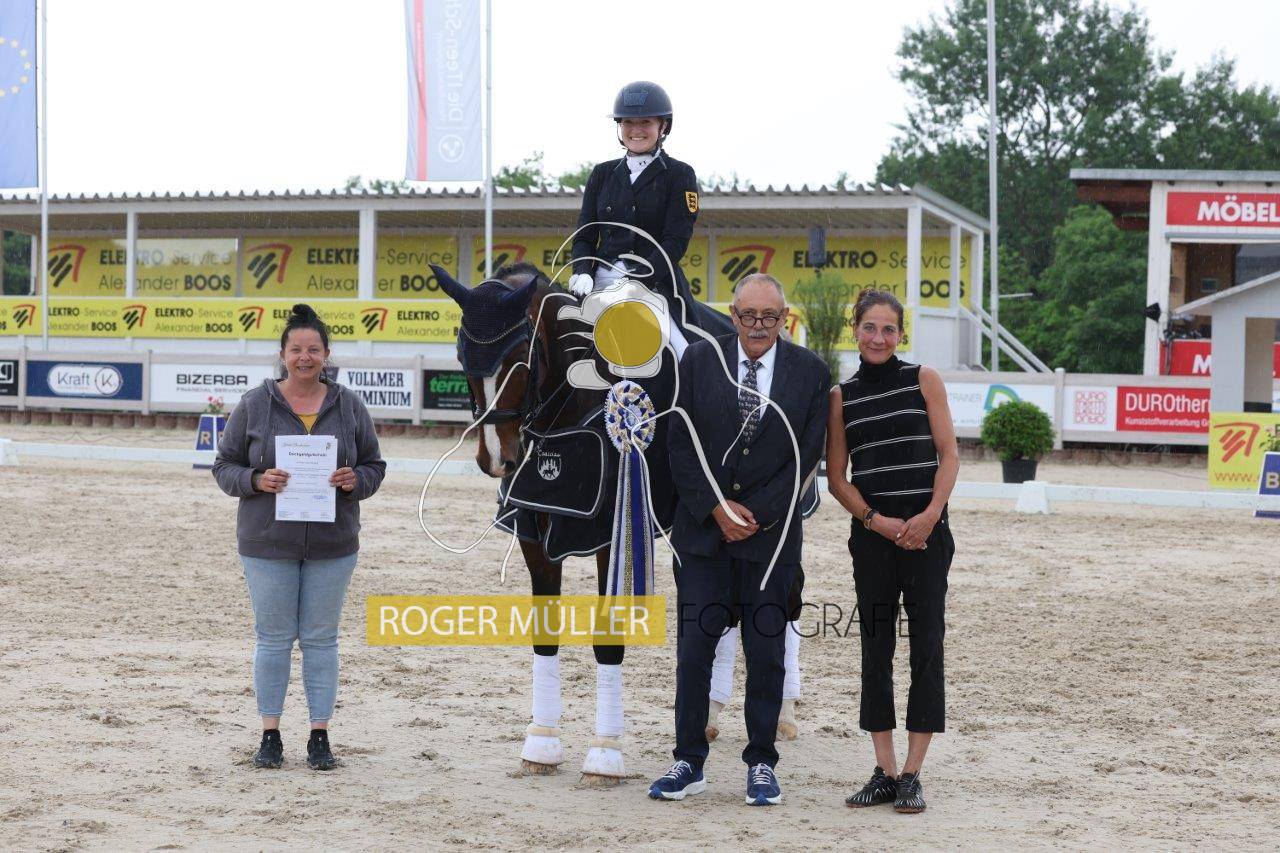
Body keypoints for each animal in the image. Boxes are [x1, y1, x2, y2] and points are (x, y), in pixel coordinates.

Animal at [429, 260, 680, 785]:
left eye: (518, 359)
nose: (496, 459)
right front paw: (541, 745)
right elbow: (545, 632)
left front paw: (605, 754)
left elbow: (607, 639)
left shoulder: (611, 537)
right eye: (461, 357)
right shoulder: (534, 533)